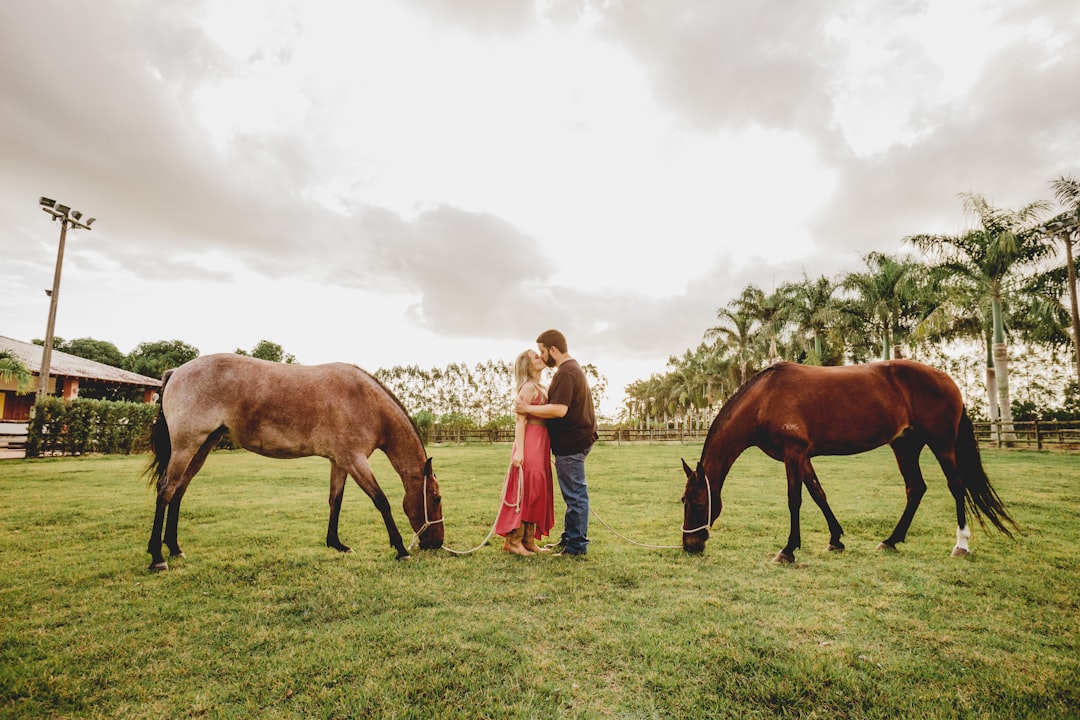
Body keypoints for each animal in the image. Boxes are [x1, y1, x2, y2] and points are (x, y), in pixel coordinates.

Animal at [145, 354, 440, 569]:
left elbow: (335, 501)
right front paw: (400, 549)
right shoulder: (355, 461)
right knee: (166, 490)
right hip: (186, 446)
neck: (365, 401)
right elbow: (381, 501)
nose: (437, 544)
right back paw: (157, 557)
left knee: (179, 491)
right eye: (436, 498)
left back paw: (174, 548)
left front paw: (336, 543)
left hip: (202, 446)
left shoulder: (340, 462)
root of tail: (176, 372)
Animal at [678, 360, 1015, 561]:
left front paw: (788, 550)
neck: (764, 398)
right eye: (683, 500)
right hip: (905, 446)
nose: (690, 546)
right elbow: (818, 494)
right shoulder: (803, 456)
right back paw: (891, 540)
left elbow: (795, 499)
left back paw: (961, 544)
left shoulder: (793, 453)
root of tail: (948, 380)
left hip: (941, 444)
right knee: (915, 488)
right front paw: (835, 539)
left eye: (699, 503)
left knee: (956, 486)